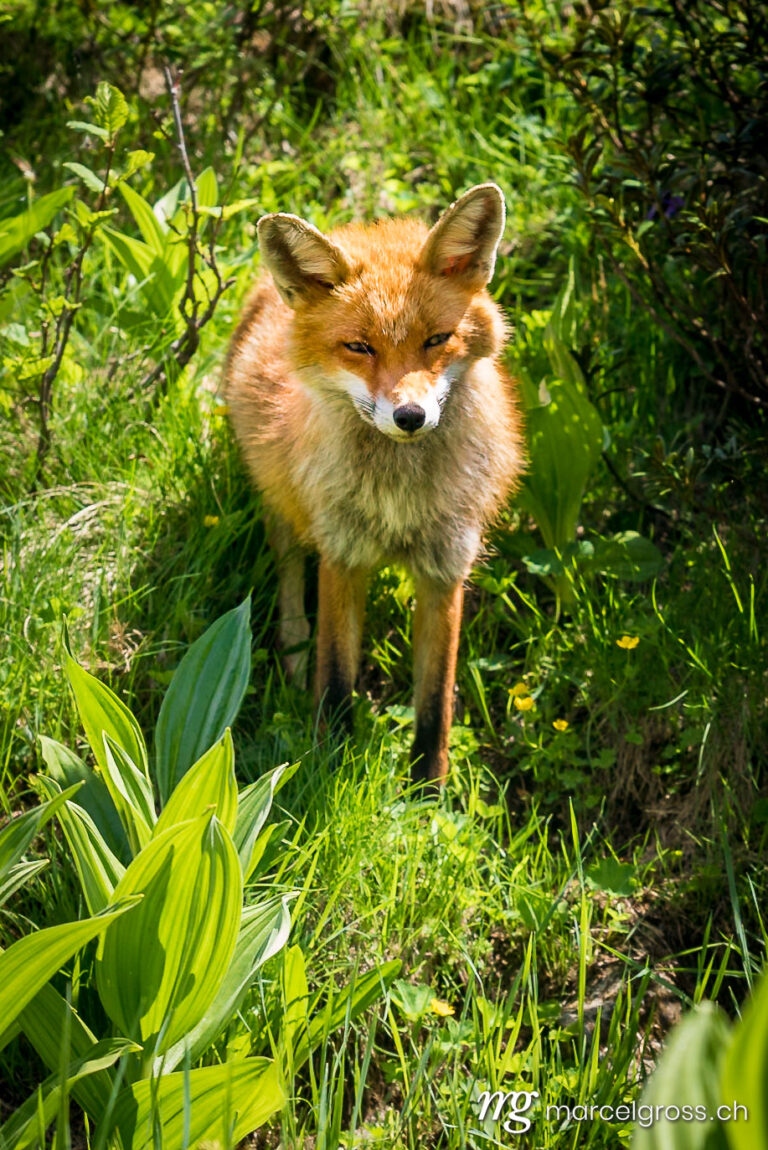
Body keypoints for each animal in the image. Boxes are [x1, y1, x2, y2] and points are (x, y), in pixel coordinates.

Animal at [221, 184, 521, 786]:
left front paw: (429, 791)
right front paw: (327, 765)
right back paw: (294, 651)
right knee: (289, 572)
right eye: (360, 347)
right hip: (282, 506)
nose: (410, 416)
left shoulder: (445, 569)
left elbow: (435, 702)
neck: (398, 504)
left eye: (438, 340)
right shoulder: (341, 556)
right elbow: (336, 679)